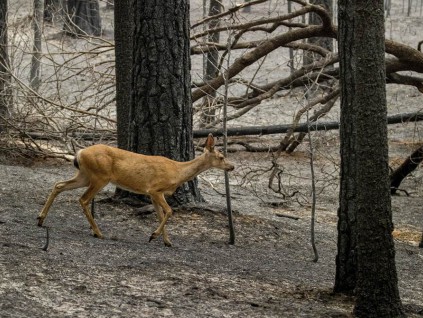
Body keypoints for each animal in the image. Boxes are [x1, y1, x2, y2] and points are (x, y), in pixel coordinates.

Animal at [37, 133, 235, 247]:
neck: (177, 172)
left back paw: (40, 219)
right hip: (100, 177)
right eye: (221, 157)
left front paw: (166, 241)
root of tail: (79, 153)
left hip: (85, 175)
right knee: (83, 199)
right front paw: (154, 236)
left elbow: (161, 215)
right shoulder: (155, 189)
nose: (232, 166)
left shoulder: (153, 195)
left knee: (59, 185)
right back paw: (98, 232)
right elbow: (170, 211)